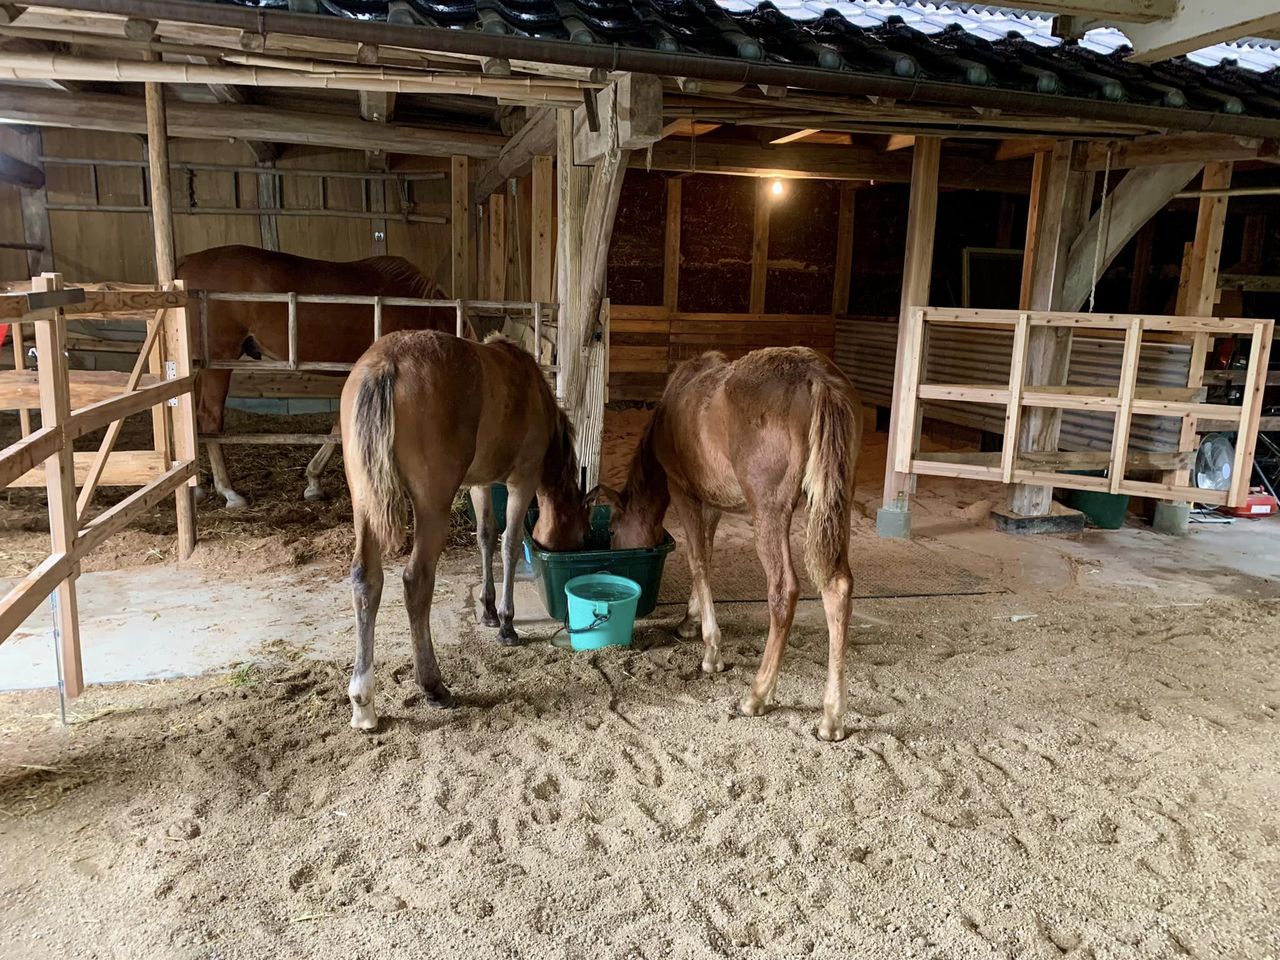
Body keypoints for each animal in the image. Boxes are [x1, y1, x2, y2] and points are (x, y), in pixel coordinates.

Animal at [177, 245, 456, 509]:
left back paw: (197, 488)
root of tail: (187, 261)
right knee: (209, 416)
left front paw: (314, 482)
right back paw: (229, 492)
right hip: (218, 360)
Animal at [341, 329, 591, 731]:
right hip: (433, 506)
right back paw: (433, 686)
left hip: (365, 501)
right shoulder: (522, 481)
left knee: (366, 580)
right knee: (416, 581)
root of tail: (385, 364)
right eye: (582, 532)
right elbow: (508, 544)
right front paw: (506, 624)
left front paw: (488, 610)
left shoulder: (481, 484)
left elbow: (486, 537)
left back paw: (363, 702)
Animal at [602, 347, 863, 741]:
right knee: (838, 587)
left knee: (783, 590)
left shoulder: (685, 493)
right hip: (836, 505)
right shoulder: (712, 504)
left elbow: (697, 561)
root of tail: (816, 378)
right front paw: (690, 619)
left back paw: (757, 695)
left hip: (769, 513)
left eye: (614, 529)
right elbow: (706, 557)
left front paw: (711, 650)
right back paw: (832, 716)